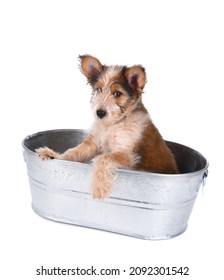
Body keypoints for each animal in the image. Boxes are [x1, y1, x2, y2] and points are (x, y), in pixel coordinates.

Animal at [37, 54, 179, 199]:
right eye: (99, 90)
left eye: (117, 94)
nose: (99, 113)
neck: (112, 125)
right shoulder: (93, 143)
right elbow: (74, 151)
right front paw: (55, 155)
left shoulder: (126, 153)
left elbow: (103, 158)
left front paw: (99, 188)